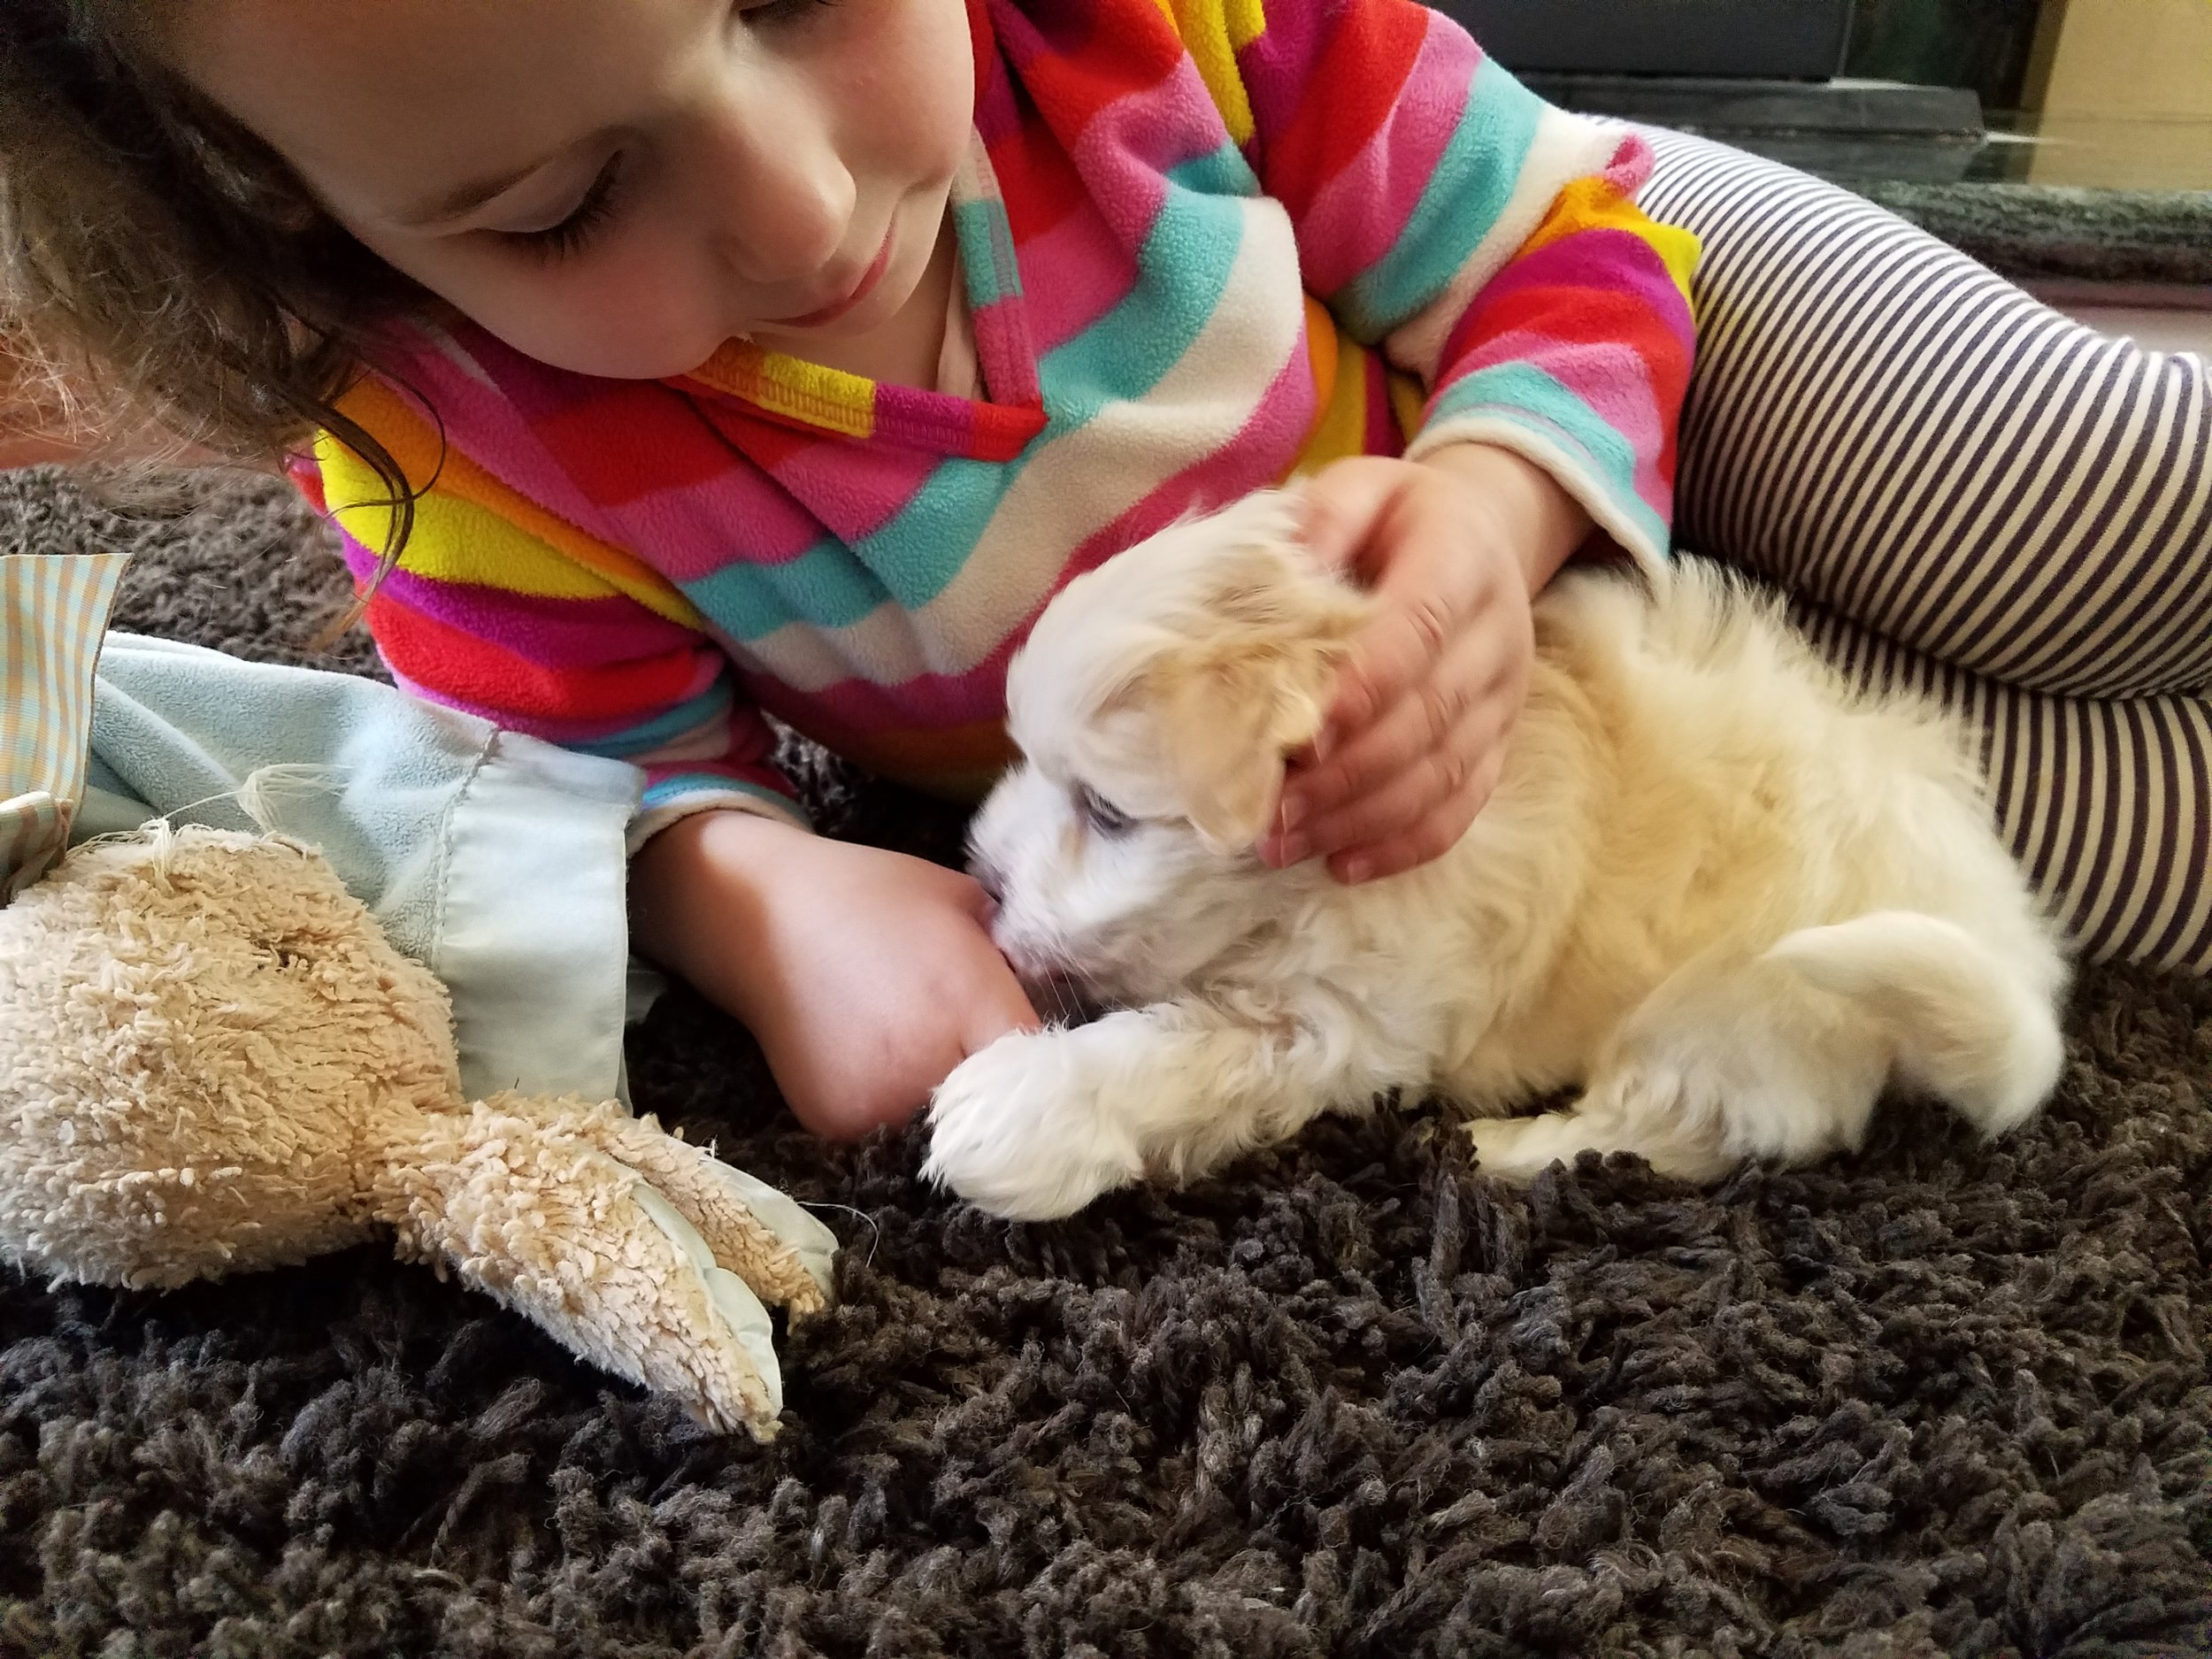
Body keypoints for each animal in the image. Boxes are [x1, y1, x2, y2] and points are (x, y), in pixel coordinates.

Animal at [925, 493, 2062, 1221]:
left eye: (1107, 812)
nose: (983, 875)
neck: (1302, 889)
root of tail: (2003, 949)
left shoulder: (1347, 1020)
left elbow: (1172, 1052)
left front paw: (1013, 1111)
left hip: (1740, 1009)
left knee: (1679, 1127)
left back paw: (1499, 1151)